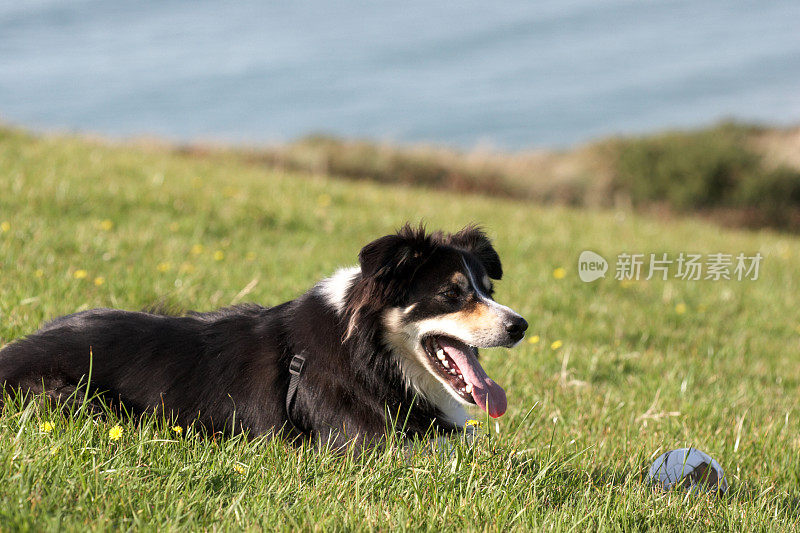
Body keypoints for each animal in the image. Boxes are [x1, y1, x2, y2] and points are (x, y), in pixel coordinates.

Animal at [0, 222, 528, 446]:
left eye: (486, 288)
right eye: (452, 294)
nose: (520, 325)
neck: (370, 355)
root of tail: (10, 353)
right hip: (76, 399)